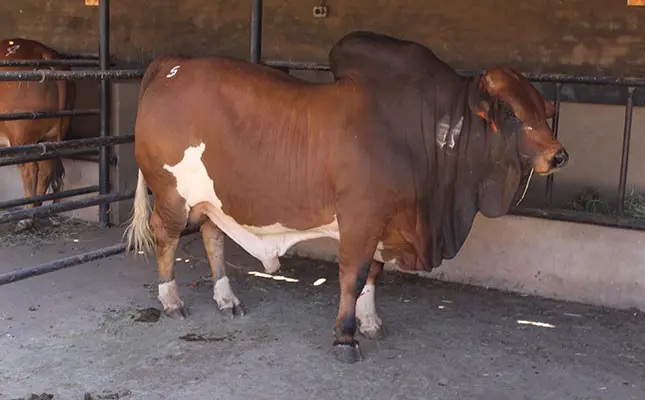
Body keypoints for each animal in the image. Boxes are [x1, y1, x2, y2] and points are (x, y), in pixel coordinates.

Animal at [0, 38, 76, 232]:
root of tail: (42, 51)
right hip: (51, 137)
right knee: (46, 169)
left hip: (22, 137)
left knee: (30, 170)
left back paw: (26, 217)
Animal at [124, 30, 568, 364]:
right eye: (509, 112)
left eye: (541, 109)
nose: (558, 154)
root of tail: (173, 64)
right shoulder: (361, 217)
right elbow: (353, 276)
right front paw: (345, 336)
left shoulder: (386, 221)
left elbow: (374, 274)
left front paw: (370, 323)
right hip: (171, 194)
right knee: (165, 236)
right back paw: (171, 300)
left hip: (213, 200)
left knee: (212, 235)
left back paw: (226, 298)